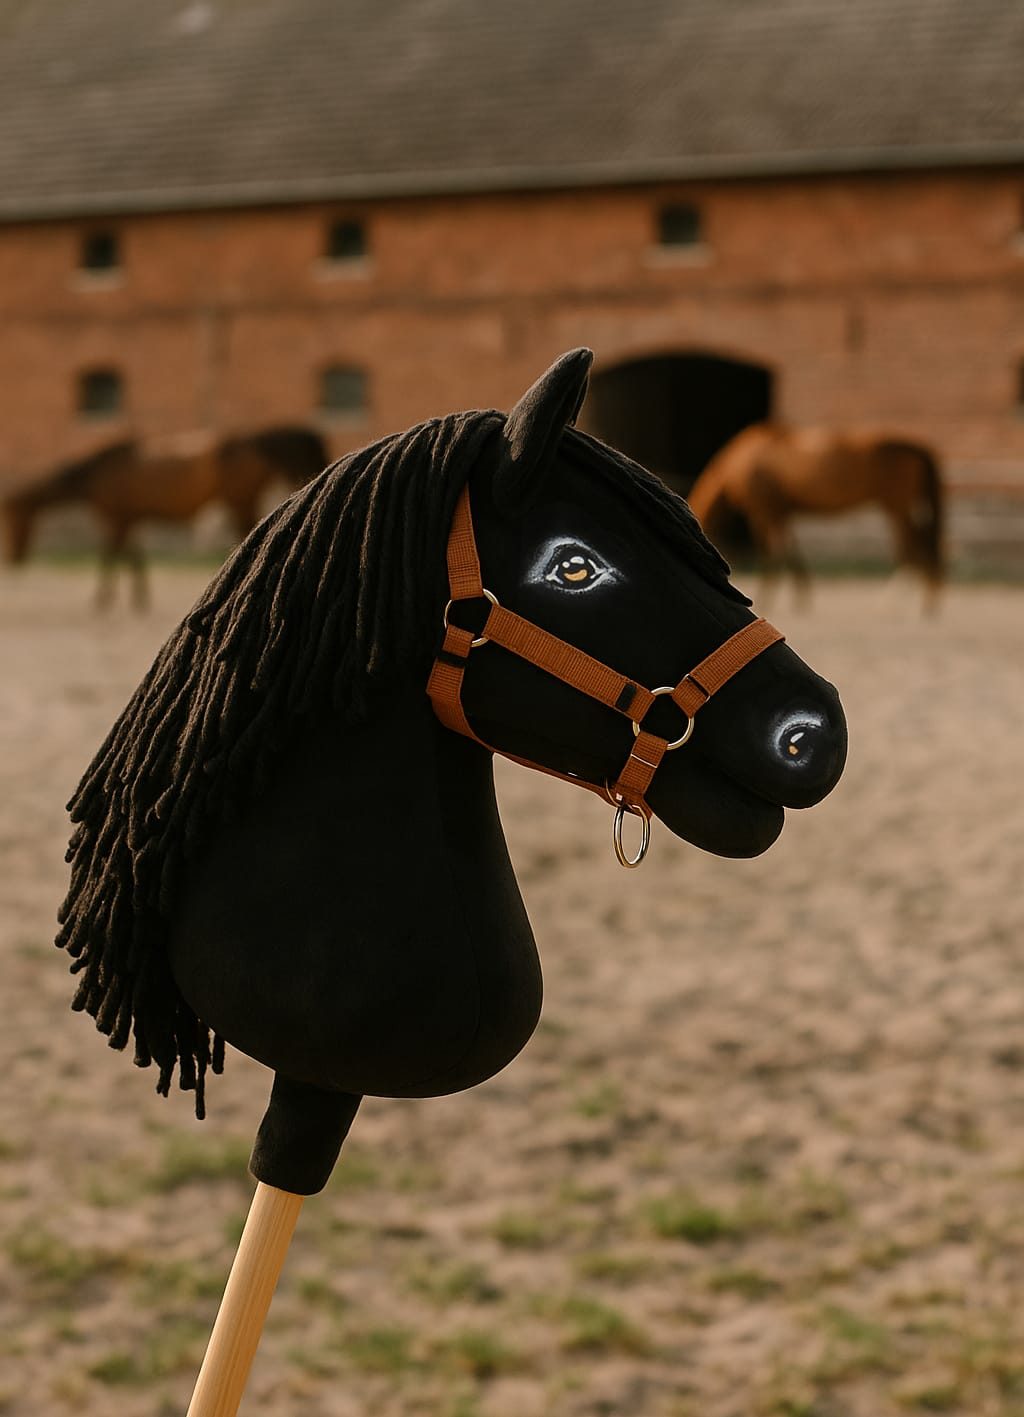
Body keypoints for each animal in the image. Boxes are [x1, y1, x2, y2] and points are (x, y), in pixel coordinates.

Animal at [1, 425, 328, 609]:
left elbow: (110, 555)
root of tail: (254, 441)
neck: (100, 471)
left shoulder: (116, 519)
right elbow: (133, 557)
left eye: (12, 518)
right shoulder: (130, 519)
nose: (13, 558)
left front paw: (102, 599)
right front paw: (139, 599)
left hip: (240, 503)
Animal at [687, 423, 945, 610]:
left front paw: (767, 598)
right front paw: (802, 599)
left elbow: (773, 552)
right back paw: (927, 604)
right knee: (924, 544)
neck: (744, 458)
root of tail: (916, 447)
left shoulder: (765, 510)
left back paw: (894, 601)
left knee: (915, 547)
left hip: (896, 506)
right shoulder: (782, 512)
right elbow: (791, 549)